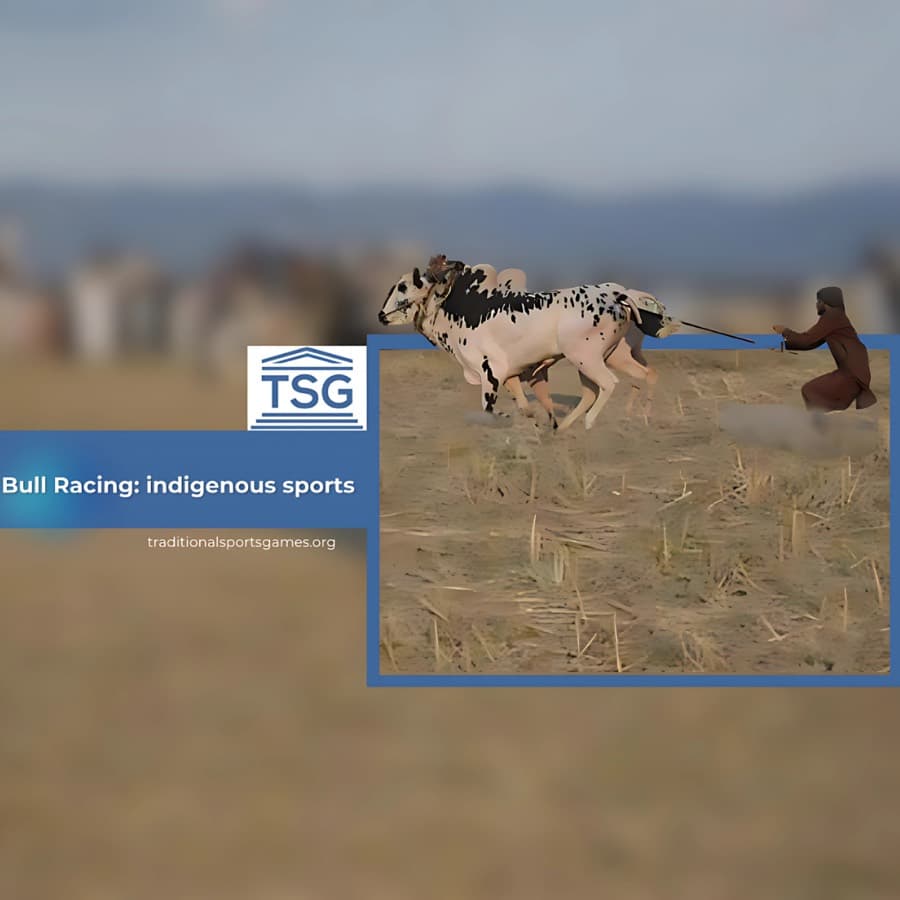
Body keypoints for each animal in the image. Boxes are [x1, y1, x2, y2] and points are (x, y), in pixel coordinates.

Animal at [378, 254, 678, 431]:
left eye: (403, 287)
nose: (381, 315)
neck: (463, 308)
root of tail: (618, 295)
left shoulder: (490, 373)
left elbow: (488, 411)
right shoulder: (512, 375)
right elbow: (525, 406)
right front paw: (539, 419)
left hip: (586, 357)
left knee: (609, 384)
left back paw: (590, 422)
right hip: (606, 357)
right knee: (616, 383)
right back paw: (569, 427)